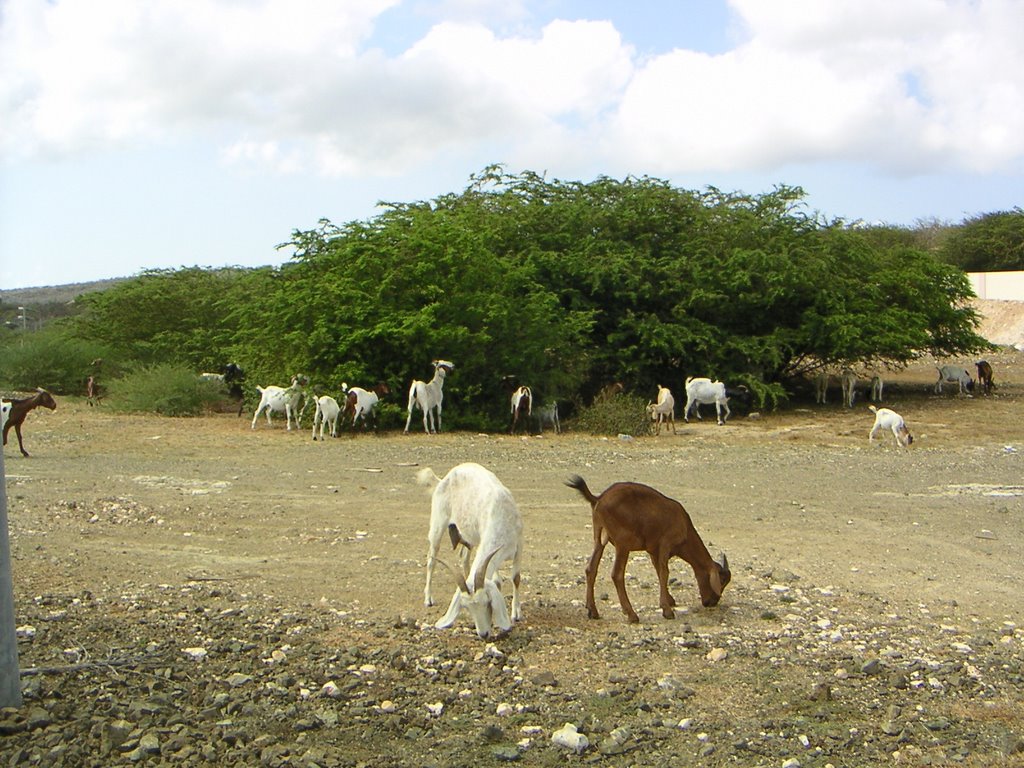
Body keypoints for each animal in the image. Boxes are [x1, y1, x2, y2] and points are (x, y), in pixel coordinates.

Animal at [419, 462, 524, 638]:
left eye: (487, 602)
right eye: (466, 607)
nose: (483, 634)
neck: (500, 515)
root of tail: (443, 479)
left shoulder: (518, 546)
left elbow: (515, 578)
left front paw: (516, 613)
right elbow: (498, 580)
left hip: (468, 536)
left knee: (463, 556)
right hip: (437, 525)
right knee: (431, 559)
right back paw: (428, 599)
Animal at [569, 475, 729, 626]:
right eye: (721, 580)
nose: (711, 602)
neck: (684, 527)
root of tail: (598, 499)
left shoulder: (653, 550)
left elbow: (658, 570)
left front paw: (669, 600)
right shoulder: (666, 543)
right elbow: (664, 572)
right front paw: (667, 611)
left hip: (599, 538)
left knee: (591, 569)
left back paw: (593, 611)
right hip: (622, 543)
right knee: (617, 574)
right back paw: (632, 615)